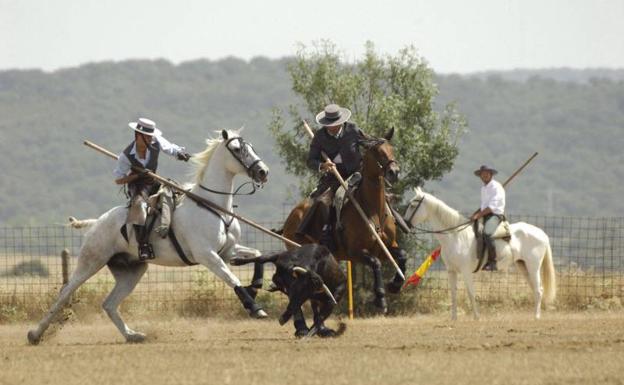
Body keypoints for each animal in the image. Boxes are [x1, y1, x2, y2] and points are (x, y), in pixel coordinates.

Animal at [28, 130, 268, 344]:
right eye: (236, 149)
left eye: (251, 147)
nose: (263, 172)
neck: (212, 205)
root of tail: (96, 222)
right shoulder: (207, 256)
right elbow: (232, 279)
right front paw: (255, 308)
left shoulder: (227, 251)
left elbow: (258, 254)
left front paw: (255, 286)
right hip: (90, 262)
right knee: (65, 293)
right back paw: (35, 334)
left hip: (132, 271)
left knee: (109, 304)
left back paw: (133, 335)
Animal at [282, 128, 408, 312]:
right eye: (376, 151)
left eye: (391, 148)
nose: (394, 172)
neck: (373, 211)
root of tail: (291, 217)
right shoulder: (356, 252)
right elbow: (376, 263)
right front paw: (380, 298)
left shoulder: (386, 247)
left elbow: (402, 255)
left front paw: (395, 285)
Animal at [404, 188, 556, 320]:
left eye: (412, 205)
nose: (405, 225)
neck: (456, 236)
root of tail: (542, 233)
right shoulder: (451, 271)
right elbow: (453, 294)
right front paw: (453, 318)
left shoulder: (466, 271)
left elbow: (471, 293)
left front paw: (477, 317)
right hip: (523, 266)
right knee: (535, 289)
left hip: (533, 267)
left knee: (539, 290)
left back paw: (536, 317)